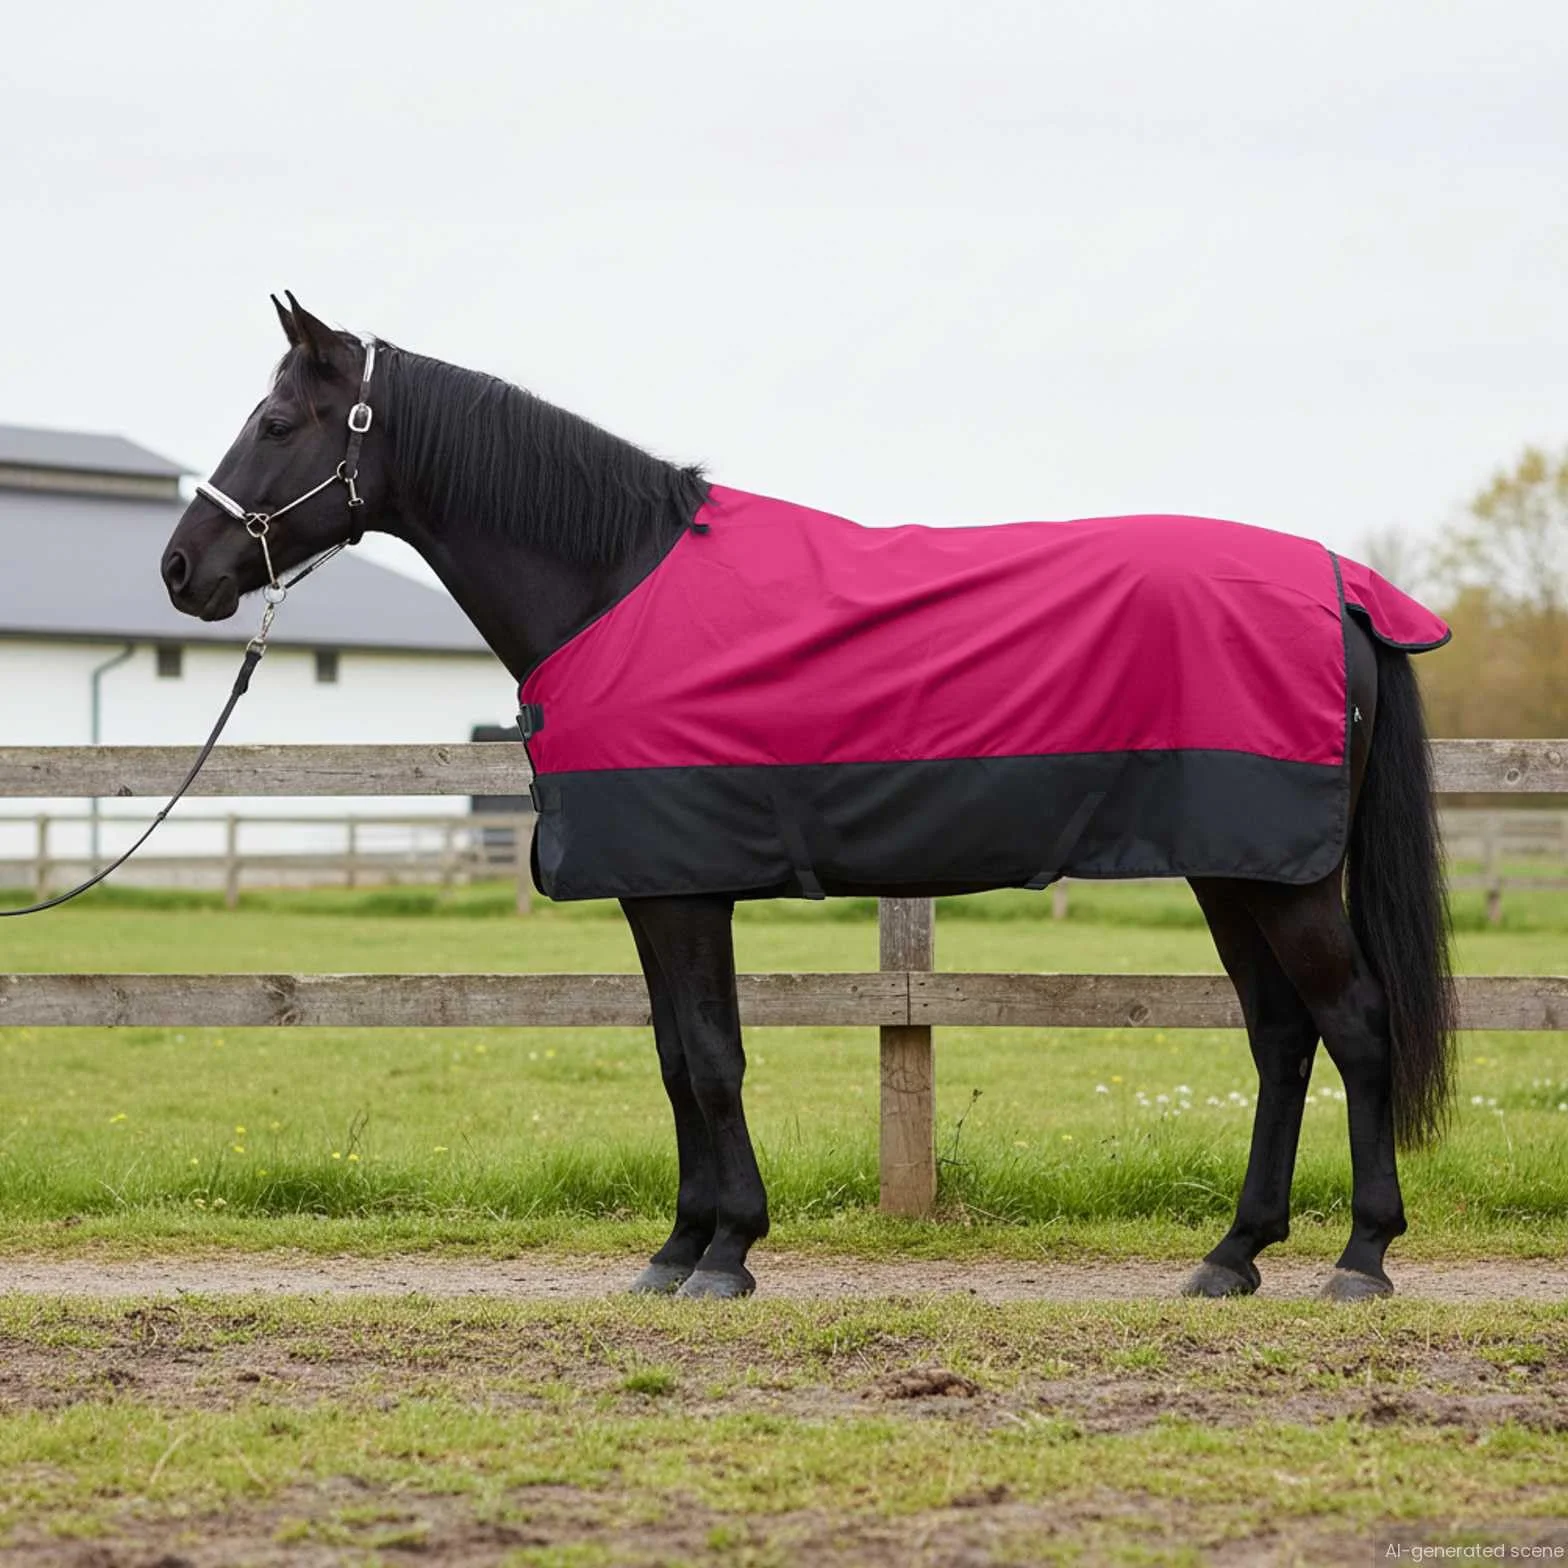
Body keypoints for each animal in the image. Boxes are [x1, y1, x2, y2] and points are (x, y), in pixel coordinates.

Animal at [161, 294, 1456, 1302]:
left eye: (275, 422)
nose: (182, 569)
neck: (612, 581)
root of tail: (1341, 586)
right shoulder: (658, 888)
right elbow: (676, 1055)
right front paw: (679, 1245)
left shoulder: (682, 890)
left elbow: (710, 1058)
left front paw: (725, 1249)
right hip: (1234, 869)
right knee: (1280, 1035)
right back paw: (1232, 1253)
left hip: (1277, 877)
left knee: (1353, 1025)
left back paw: (1359, 1256)